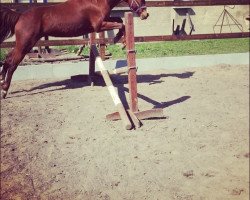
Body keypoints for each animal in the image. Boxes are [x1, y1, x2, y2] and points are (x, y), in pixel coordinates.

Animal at [0, 0, 148, 98]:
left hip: (23, 44)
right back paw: (4, 90)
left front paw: (120, 40)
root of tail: (20, 16)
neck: (97, 2)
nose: (145, 15)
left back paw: (1, 82)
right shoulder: (99, 26)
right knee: (12, 64)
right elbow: (121, 24)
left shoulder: (105, 21)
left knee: (7, 59)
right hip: (25, 44)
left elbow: (119, 20)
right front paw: (120, 40)